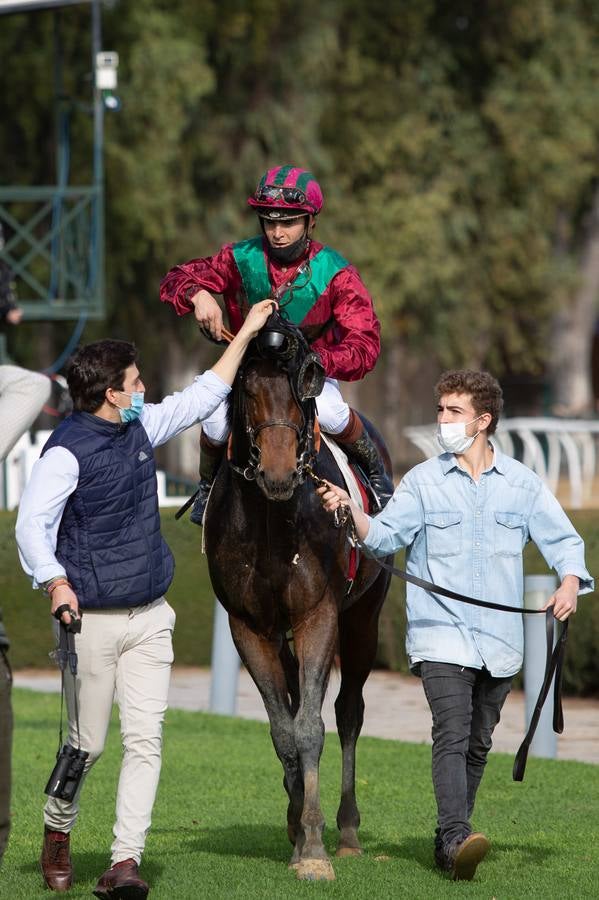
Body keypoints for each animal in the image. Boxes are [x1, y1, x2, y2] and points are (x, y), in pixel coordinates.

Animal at [204, 312, 396, 884]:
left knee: (349, 712)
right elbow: (283, 730)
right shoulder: (249, 626)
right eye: (247, 390)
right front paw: (295, 829)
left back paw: (348, 832)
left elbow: (311, 727)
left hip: (363, 621)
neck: (275, 520)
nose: (279, 473)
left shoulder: (319, 616)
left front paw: (313, 846)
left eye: (300, 391)